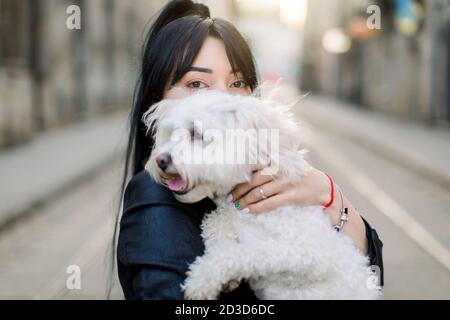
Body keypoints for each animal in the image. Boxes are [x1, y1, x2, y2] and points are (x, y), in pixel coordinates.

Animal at [143, 88, 380, 300]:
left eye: (197, 134)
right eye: (172, 133)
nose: (160, 160)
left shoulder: (306, 251)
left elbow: (244, 252)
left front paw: (201, 280)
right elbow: (216, 223)